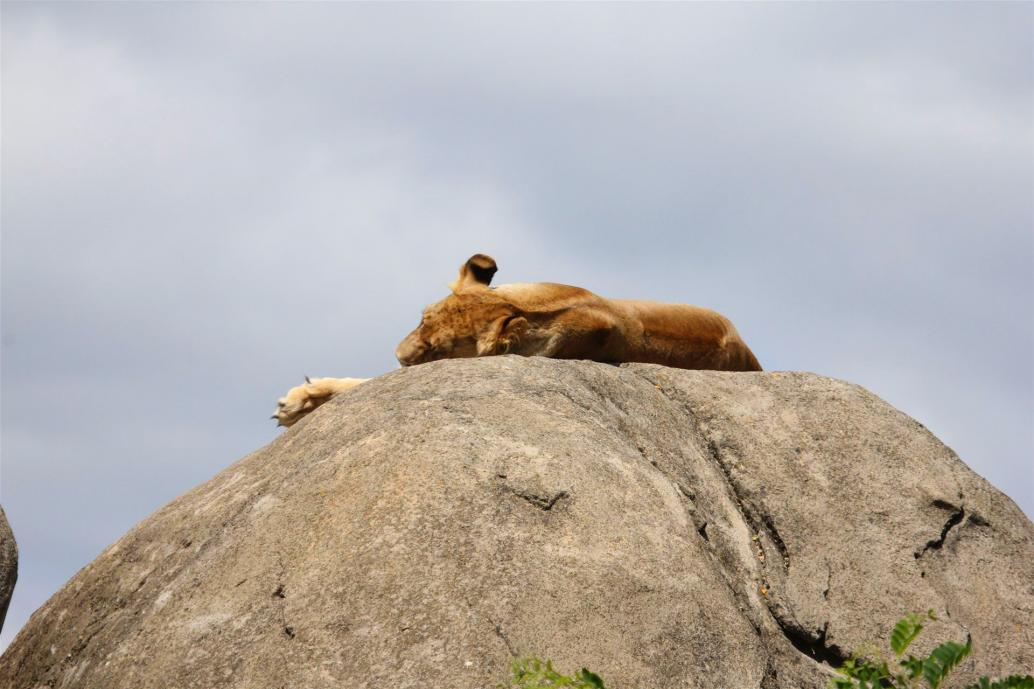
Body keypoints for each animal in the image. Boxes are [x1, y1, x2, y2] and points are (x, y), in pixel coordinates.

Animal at [273, 253, 761, 427]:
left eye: (439, 349)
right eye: (422, 316)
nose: (398, 355)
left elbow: (370, 383)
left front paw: (301, 402)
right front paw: (301, 399)